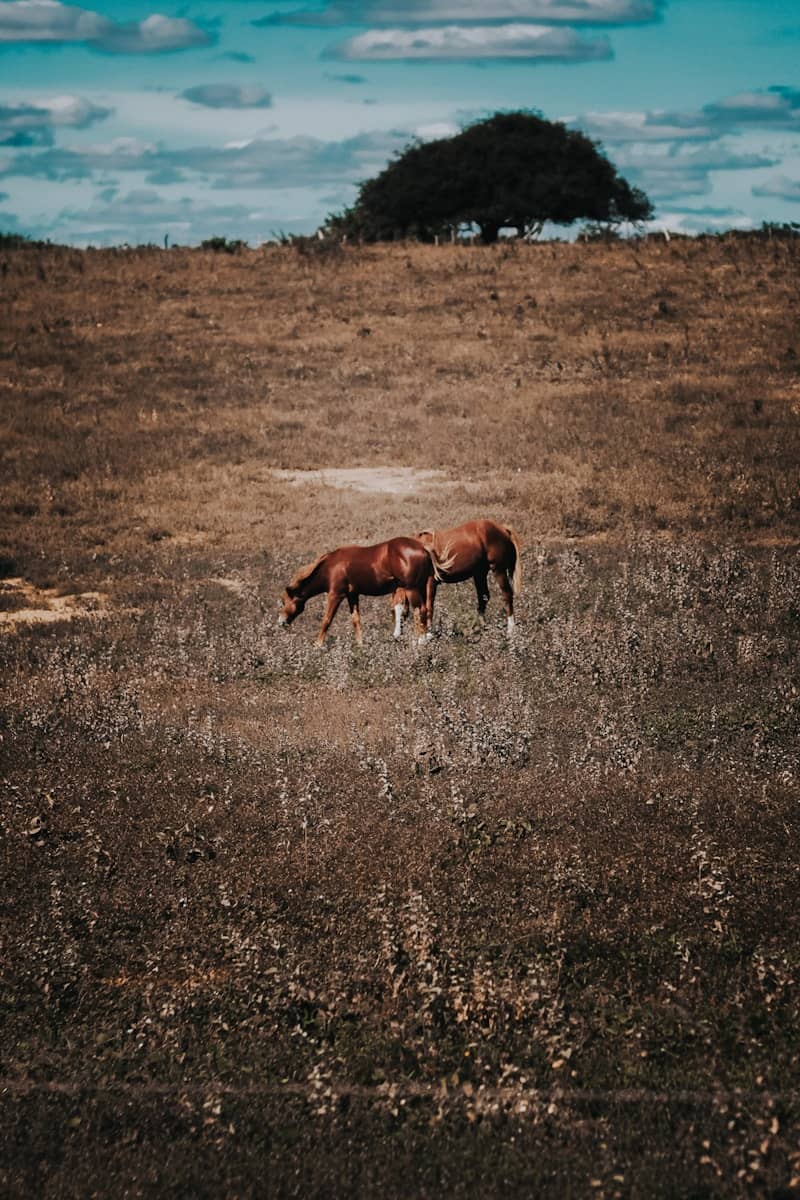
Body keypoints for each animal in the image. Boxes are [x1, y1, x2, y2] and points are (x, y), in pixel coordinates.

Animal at [279, 537, 436, 646]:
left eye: (283, 602)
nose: (281, 622)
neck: (330, 566)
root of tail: (423, 548)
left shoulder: (336, 594)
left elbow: (326, 620)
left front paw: (317, 645)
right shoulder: (352, 595)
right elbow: (356, 620)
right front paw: (360, 645)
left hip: (412, 589)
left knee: (420, 610)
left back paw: (420, 641)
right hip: (421, 588)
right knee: (424, 610)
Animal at [391, 518, 522, 637]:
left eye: (402, 605)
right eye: (393, 610)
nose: (396, 636)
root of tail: (503, 529)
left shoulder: (431, 583)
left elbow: (429, 607)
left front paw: (428, 634)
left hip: (499, 570)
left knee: (507, 595)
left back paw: (510, 631)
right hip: (480, 573)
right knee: (483, 597)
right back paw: (479, 627)